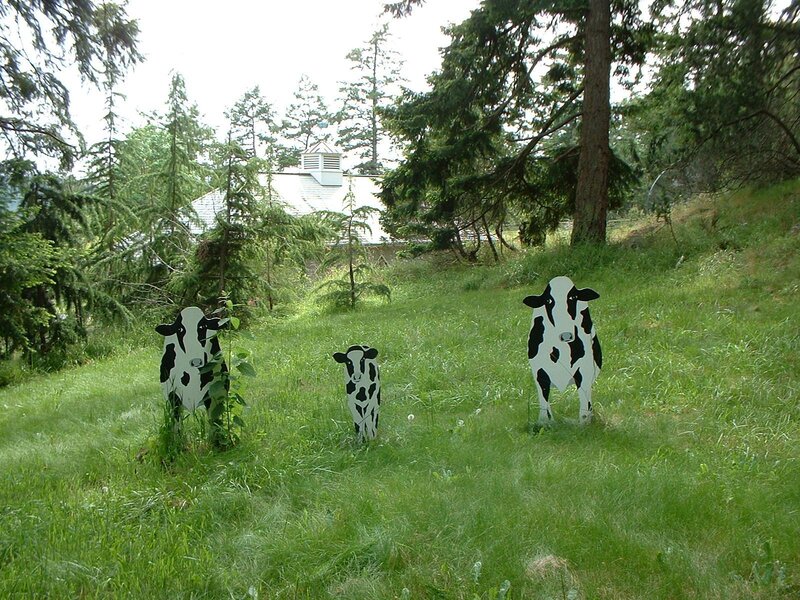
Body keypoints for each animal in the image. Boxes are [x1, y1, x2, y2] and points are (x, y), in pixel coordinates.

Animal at [523, 276, 602, 426]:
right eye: (548, 300)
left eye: (573, 297)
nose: (566, 335)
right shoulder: (539, 372)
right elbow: (544, 399)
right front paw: (545, 422)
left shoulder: (585, 370)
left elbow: (584, 398)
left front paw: (584, 422)